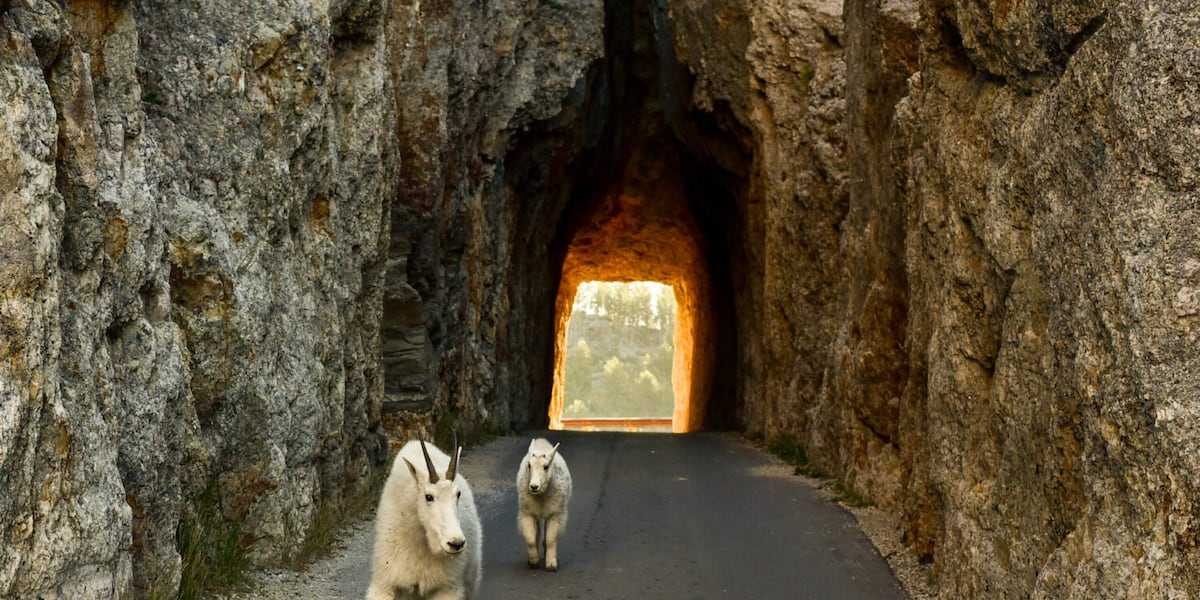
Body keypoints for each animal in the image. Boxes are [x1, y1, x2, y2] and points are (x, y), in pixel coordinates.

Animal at [515, 438, 572, 571]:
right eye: (529, 465)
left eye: (546, 467)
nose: (534, 486)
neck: (541, 495)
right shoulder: (527, 512)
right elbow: (530, 538)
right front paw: (533, 561)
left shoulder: (556, 513)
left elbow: (551, 538)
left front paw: (551, 564)